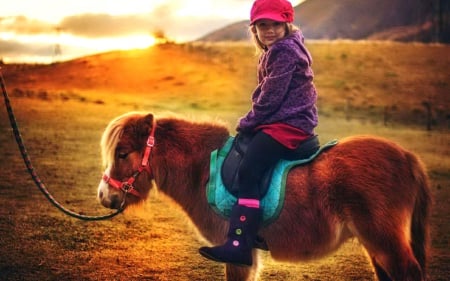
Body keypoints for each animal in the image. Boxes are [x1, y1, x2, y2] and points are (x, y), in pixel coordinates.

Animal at [97, 111, 432, 280]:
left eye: (123, 153)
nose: (104, 196)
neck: (203, 169)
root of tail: (407, 157)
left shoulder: (237, 258)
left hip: (385, 244)